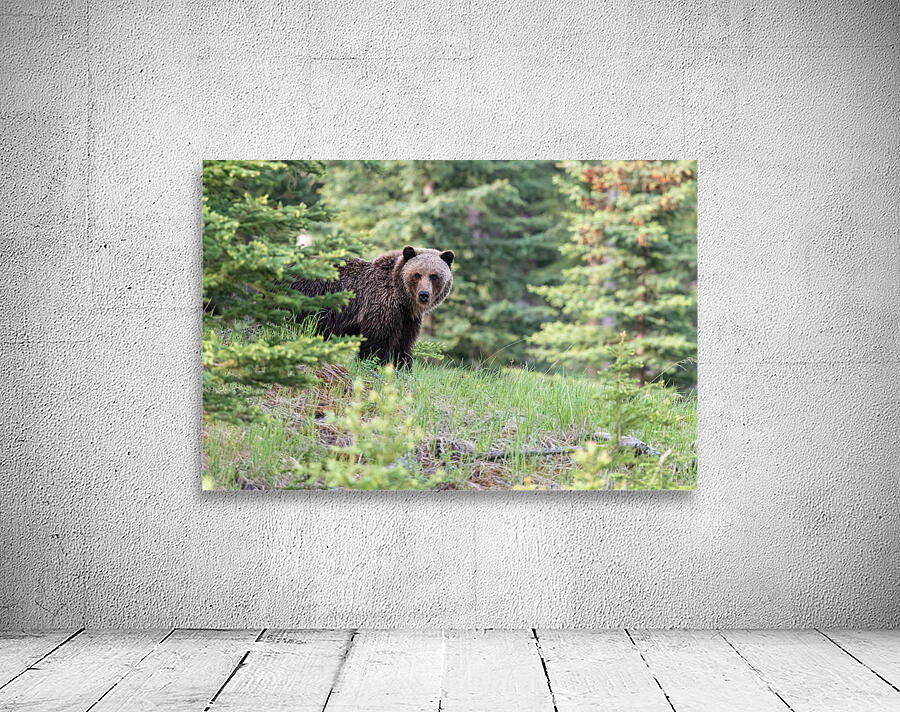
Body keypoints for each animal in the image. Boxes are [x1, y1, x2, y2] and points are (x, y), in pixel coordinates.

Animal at [291, 245, 454, 368]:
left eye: (434, 275)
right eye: (417, 274)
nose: (424, 294)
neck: (402, 299)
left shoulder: (407, 318)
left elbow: (403, 345)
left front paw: (403, 368)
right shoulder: (381, 305)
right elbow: (377, 342)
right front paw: (374, 364)